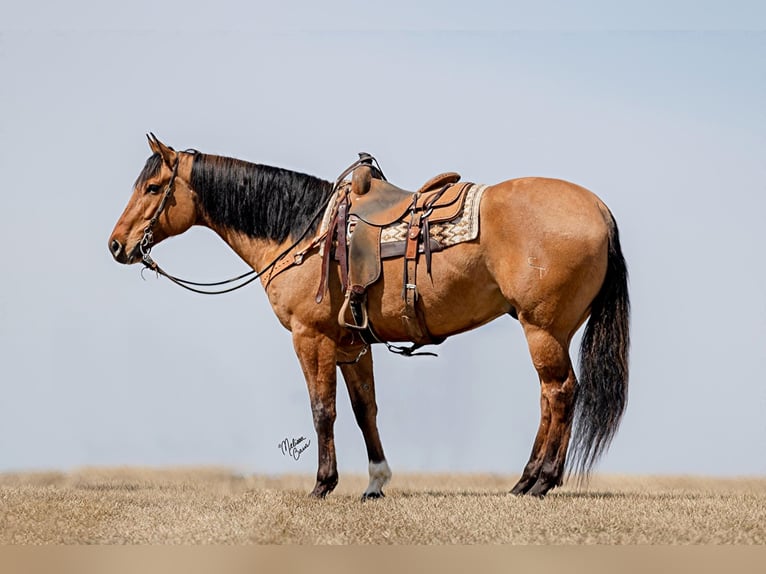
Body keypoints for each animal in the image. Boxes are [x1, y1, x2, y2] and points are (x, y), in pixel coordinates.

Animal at [111, 134, 632, 500]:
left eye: (153, 187)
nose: (117, 245)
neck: (303, 234)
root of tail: (599, 210)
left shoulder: (311, 337)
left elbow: (323, 410)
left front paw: (323, 484)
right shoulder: (352, 346)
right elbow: (366, 412)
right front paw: (376, 482)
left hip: (542, 328)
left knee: (560, 393)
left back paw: (542, 480)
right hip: (550, 330)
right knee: (551, 396)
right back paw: (527, 480)